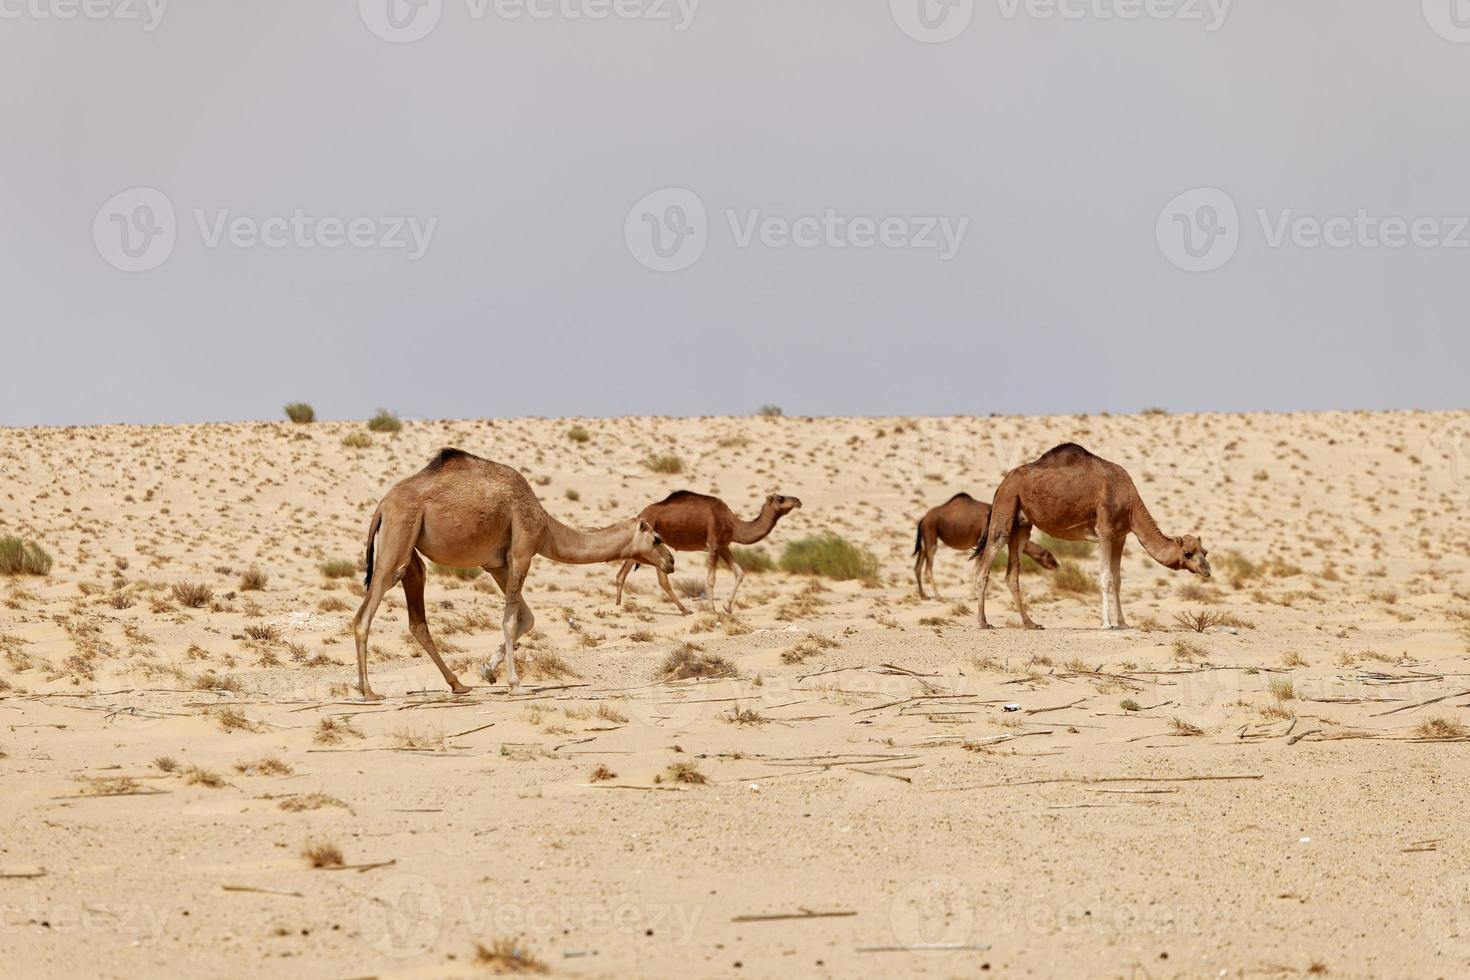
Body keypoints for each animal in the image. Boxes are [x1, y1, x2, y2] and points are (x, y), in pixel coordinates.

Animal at [352, 449, 673, 702]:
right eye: (657, 538)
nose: (671, 561)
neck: (546, 528)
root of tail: (382, 505)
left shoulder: (496, 565)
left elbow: (526, 618)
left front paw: (487, 671)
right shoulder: (522, 553)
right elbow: (510, 621)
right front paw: (515, 684)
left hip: (410, 549)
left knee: (416, 615)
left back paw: (458, 685)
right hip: (399, 536)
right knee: (365, 615)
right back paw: (369, 690)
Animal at [617, 490, 805, 614]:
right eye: (781, 498)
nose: (798, 501)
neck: (734, 524)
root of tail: (640, 514)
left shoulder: (724, 546)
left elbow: (740, 573)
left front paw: (727, 607)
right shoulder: (714, 544)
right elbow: (711, 580)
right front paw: (713, 609)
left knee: (661, 579)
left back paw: (684, 610)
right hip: (642, 543)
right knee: (623, 574)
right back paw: (618, 607)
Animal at [911, 493, 1052, 602]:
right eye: (1049, 555)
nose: (1055, 564)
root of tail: (923, 519)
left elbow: (980, 569)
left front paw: (982, 594)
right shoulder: (983, 542)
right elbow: (979, 569)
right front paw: (975, 596)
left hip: (925, 538)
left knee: (918, 566)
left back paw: (924, 595)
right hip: (931, 534)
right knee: (928, 568)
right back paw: (938, 596)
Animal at [970, 443, 1211, 631]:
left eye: (1205, 551)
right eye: (1188, 553)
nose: (1207, 569)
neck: (1130, 502)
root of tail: (1003, 481)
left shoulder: (1120, 535)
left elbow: (1117, 580)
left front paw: (1123, 623)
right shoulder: (1105, 531)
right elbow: (1105, 578)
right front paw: (1107, 623)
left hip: (1022, 524)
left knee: (1012, 573)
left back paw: (1031, 623)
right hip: (1006, 504)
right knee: (986, 563)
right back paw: (983, 622)